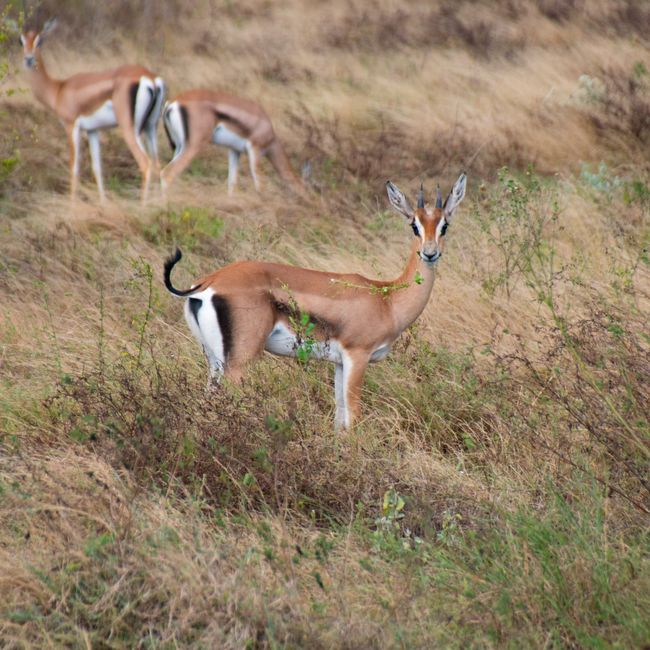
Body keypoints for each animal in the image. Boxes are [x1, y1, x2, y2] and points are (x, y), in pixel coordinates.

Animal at [19, 19, 166, 203]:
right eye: (21, 41)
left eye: (40, 40)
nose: (28, 59)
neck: (59, 89)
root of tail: (150, 78)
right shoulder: (92, 131)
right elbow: (97, 168)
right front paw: (103, 204)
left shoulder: (71, 126)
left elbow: (74, 168)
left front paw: (72, 206)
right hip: (151, 126)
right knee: (159, 164)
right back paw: (162, 204)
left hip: (130, 129)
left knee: (145, 163)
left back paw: (143, 206)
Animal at [160, 89, 306, 197]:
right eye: (303, 189)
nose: (307, 203)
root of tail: (173, 103)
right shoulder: (255, 149)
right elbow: (260, 184)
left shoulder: (234, 151)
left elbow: (232, 183)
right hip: (194, 146)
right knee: (168, 173)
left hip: (179, 146)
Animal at [164, 173, 467, 428]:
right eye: (414, 225)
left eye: (444, 225)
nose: (430, 253)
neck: (387, 300)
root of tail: (207, 283)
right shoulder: (357, 356)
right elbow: (353, 417)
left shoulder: (339, 363)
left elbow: (339, 418)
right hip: (238, 363)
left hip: (214, 360)